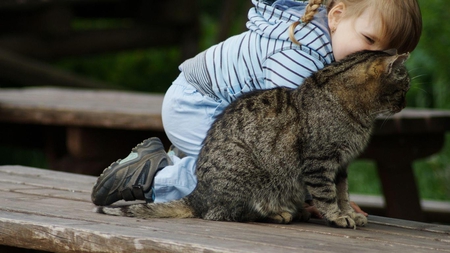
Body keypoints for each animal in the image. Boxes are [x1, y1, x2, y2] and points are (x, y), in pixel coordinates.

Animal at [98, 50, 412, 228]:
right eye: (405, 86)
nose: (404, 104)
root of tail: (198, 195)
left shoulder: (342, 165)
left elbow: (343, 192)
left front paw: (349, 212)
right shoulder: (320, 162)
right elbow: (327, 194)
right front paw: (336, 216)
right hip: (250, 175)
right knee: (227, 214)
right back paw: (278, 214)